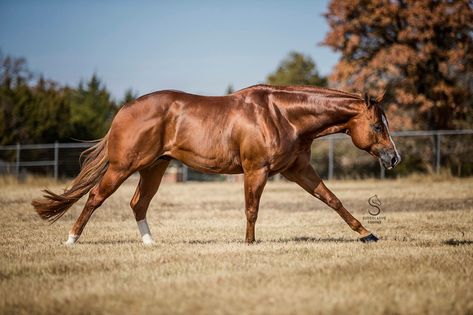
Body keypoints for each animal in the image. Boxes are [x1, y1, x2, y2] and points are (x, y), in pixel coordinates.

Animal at [32, 85, 398, 246]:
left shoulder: (297, 170)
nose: (393, 158)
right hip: (123, 167)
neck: (281, 115)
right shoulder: (256, 170)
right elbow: (252, 209)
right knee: (95, 197)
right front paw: (249, 243)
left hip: (155, 168)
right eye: (377, 126)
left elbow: (332, 199)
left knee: (138, 203)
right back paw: (71, 240)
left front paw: (367, 234)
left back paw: (149, 243)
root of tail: (124, 110)